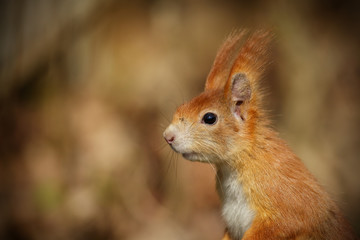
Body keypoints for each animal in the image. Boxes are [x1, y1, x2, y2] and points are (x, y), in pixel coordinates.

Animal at [163, 30, 358, 240]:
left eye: (209, 118)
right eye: (180, 107)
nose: (167, 136)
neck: (242, 161)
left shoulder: (286, 199)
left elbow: (287, 222)